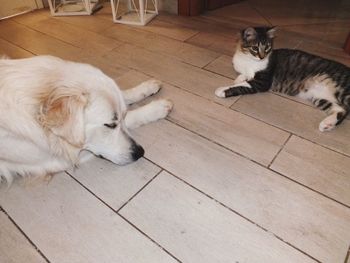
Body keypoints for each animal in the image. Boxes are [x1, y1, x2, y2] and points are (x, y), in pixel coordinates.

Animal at [0, 55, 172, 185]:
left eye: (121, 116)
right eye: (110, 125)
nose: (140, 152)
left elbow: (124, 96)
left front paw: (147, 87)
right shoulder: (58, 159)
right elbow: (133, 117)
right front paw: (157, 108)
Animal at [216, 26, 350, 132]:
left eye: (267, 47)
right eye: (255, 48)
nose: (262, 57)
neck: (249, 60)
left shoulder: (262, 82)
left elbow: (243, 85)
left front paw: (222, 90)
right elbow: (243, 77)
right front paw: (240, 78)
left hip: (342, 89)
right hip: (319, 97)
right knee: (340, 110)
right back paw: (327, 124)